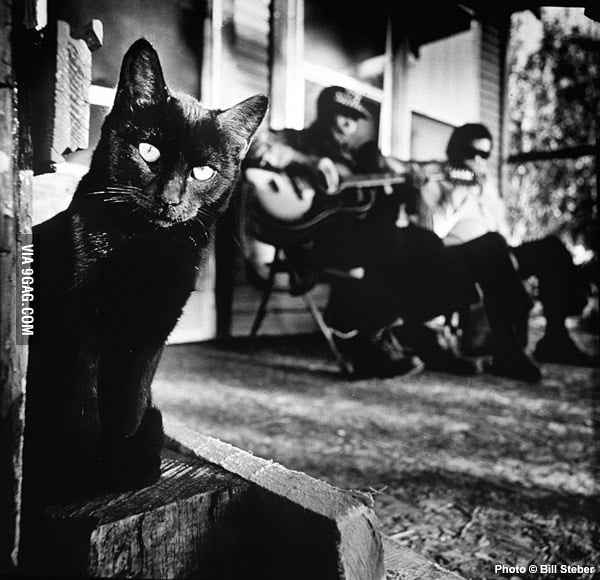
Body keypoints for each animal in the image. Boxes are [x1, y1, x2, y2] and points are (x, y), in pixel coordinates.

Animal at [23, 38, 268, 502]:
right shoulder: (80, 326)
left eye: (203, 171)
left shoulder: (152, 334)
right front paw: (84, 471)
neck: (145, 249)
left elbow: (131, 402)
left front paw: (125, 460)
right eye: (149, 151)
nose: (169, 198)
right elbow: (83, 404)